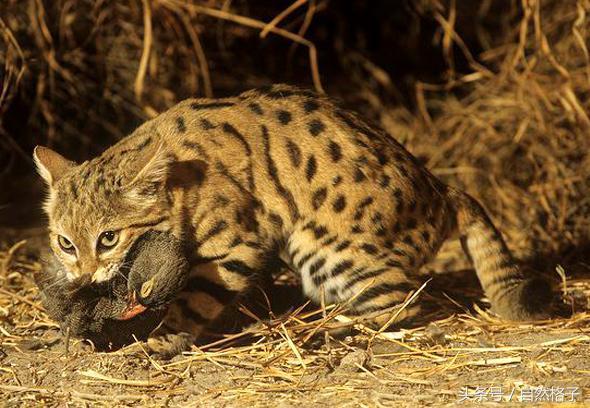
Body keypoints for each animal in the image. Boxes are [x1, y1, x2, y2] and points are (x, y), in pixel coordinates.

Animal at [33, 84, 556, 346]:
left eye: (108, 238)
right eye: (65, 242)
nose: (83, 277)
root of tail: (445, 192)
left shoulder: (236, 245)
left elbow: (193, 302)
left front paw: (161, 338)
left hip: (327, 248)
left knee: (404, 306)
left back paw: (336, 337)